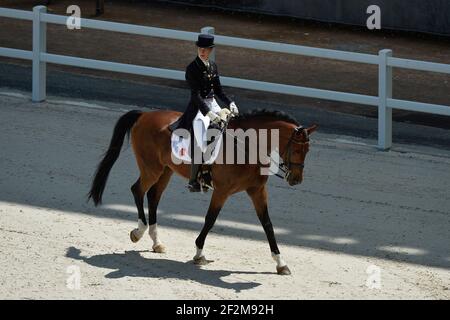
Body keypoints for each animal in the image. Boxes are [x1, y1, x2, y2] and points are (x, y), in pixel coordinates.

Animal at [87, 109, 316, 274]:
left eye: (308, 151)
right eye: (297, 149)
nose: (296, 179)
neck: (246, 146)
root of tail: (144, 114)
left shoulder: (257, 190)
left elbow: (267, 225)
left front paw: (281, 263)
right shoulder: (222, 191)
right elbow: (210, 220)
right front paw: (199, 254)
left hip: (166, 171)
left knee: (153, 197)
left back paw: (157, 242)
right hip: (151, 169)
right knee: (137, 191)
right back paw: (138, 232)